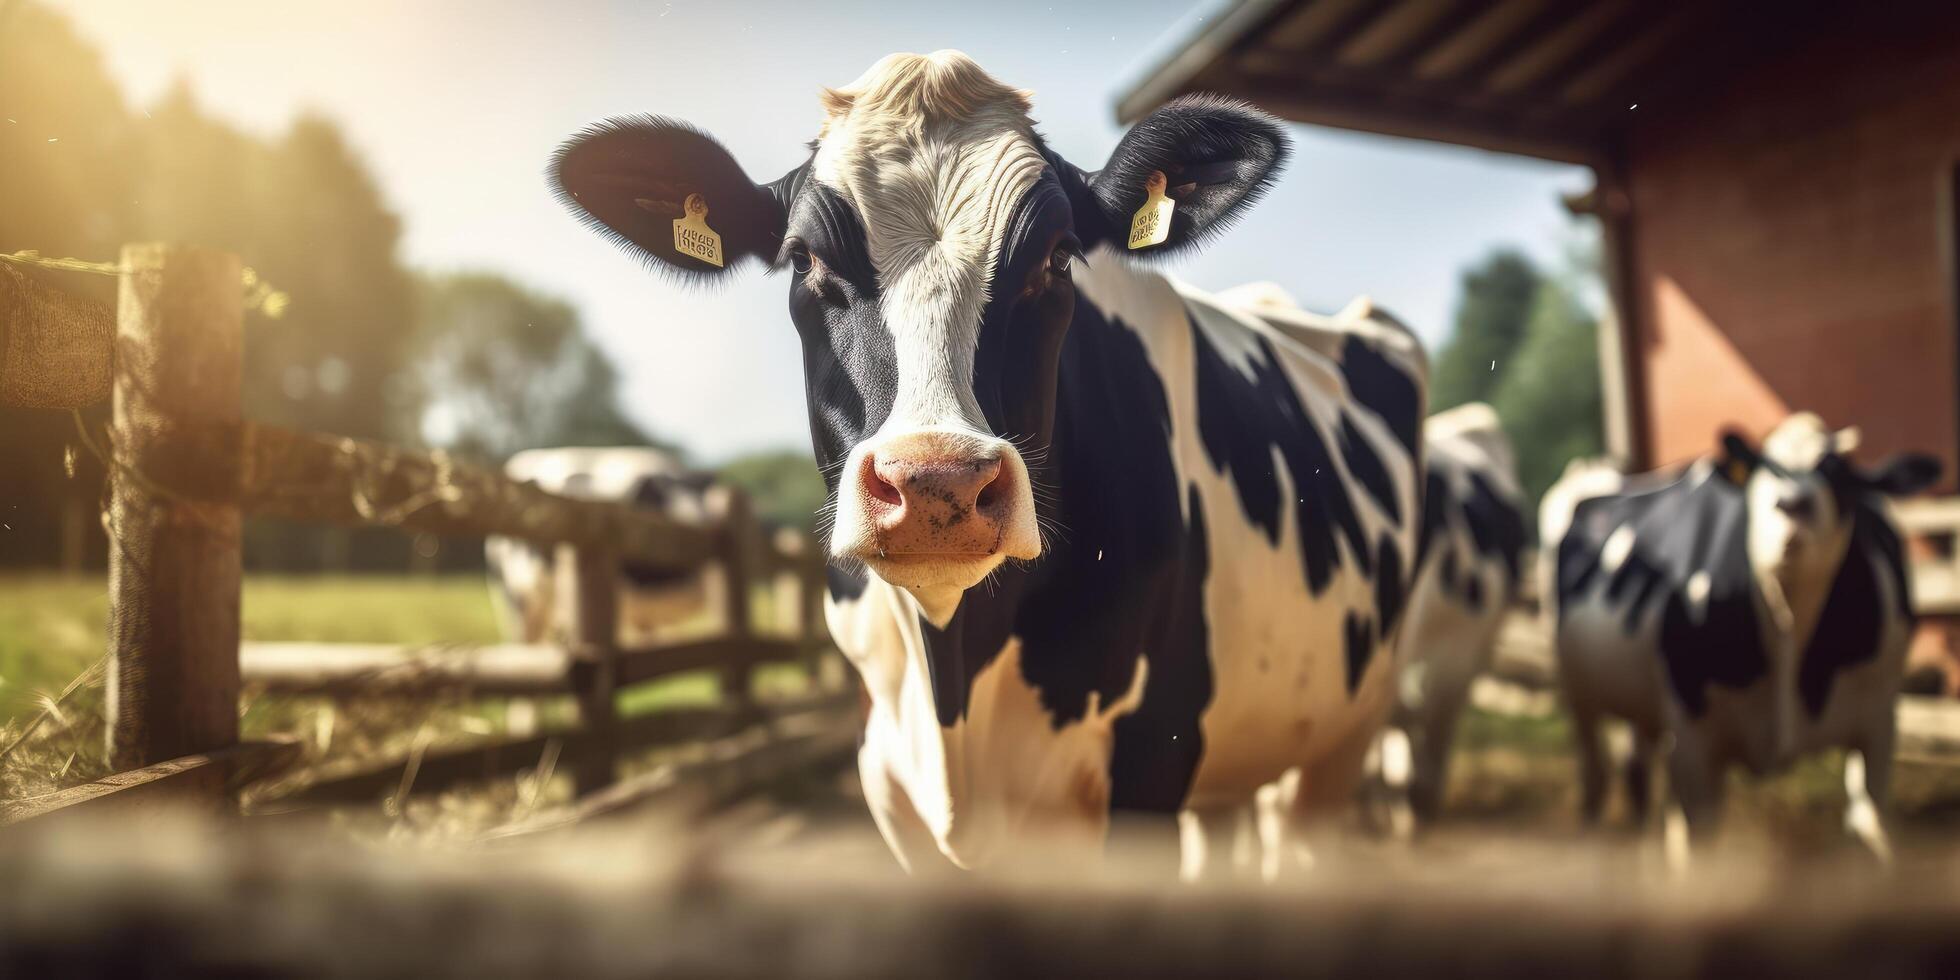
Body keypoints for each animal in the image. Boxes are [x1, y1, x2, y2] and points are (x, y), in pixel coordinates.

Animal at [552, 49, 1426, 870]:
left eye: (1059, 256)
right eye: (804, 259)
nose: (935, 481)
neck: (955, 691)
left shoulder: (1151, 763)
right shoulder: (887, 777)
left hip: (1346, 732)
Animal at [1544, 413, 1944, 858]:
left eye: (1837, 471)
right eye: (1763, 468)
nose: (1791, 505)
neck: (1788, 621)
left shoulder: (1879, 720)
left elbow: (1873, 826)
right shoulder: (1693, 736)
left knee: (1638, 779)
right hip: (1582, 698)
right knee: (1597, 781)